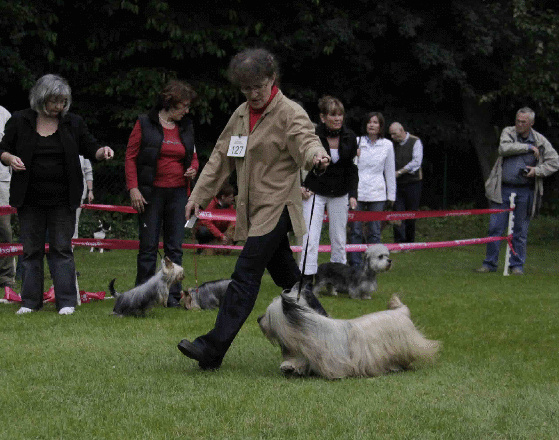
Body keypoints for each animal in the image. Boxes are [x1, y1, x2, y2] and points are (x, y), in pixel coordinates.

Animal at [260, 288, 442, 380]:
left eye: (267, 315)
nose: (257, 318)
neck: (307, 328)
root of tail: (401, 311)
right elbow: (299, 361)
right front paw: (288, 366)